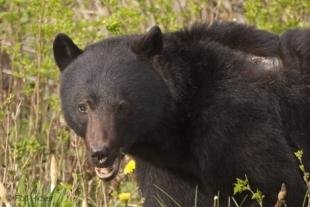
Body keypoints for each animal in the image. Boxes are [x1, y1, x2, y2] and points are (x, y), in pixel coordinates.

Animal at [53, 21, 310, 206]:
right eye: (83, 106)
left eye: (122, 106)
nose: (101, 153)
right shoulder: (168, 168)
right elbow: (168, 196)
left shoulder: (240, 122)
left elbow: (275, 183)